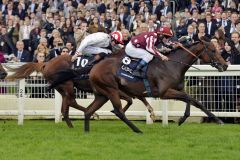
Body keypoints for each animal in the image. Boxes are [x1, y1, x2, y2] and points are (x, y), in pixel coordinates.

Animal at [6, 55, 155, 127]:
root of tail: (46, 63)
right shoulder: (113, 89)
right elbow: (130, 99)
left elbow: (138, 97)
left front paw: (152, 113)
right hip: (67, 85)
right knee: (71, 101)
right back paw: (92, 115)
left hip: (62, 88)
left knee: (66, 106)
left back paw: (73, 123)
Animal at [80, 39, 227, 132]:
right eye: (213, 50)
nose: (225, 65)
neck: (172, 65)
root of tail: (94, 68)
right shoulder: (164, 93)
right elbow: (189, 98)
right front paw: (182, 119)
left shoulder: (178, 89)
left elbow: (194, 101)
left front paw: (217, 120)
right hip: (111, 90)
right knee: (118, 111)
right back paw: (137, 130)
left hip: (102, 94)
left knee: (88, 111)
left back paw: (87, 132)